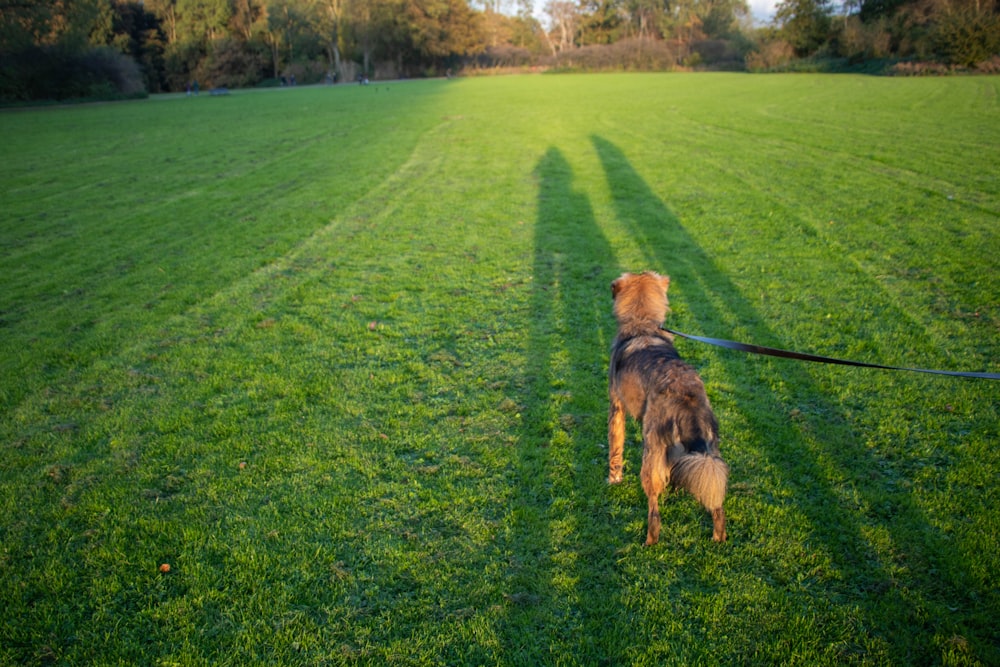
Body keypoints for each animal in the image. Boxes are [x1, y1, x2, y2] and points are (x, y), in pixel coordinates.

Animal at [604, 272, 732, 548]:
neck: (643, 324)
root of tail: (686, 396)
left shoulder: (615, 408)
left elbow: (614, 450)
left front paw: (613, 479)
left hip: (650, 455)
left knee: (654, 511)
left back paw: (649, 542)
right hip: (710, 454)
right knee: (717, 505)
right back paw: (718, 539)